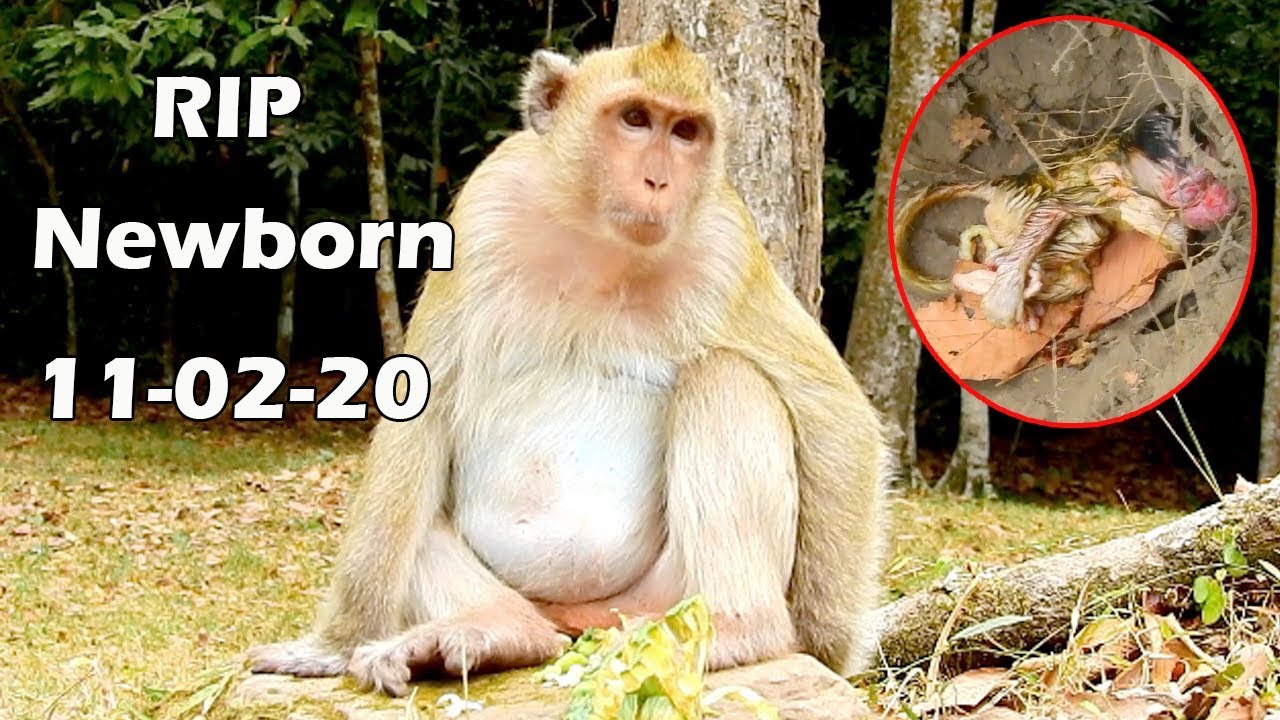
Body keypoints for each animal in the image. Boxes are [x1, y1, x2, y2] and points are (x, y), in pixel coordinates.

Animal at [247, 32, 888, 698]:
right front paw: (332, 646)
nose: (659, 180)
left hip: (659, 598)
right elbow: (422, 409)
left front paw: (825, 642)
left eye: (686, 131)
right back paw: (497, 629)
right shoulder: (483, 210)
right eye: (635, 119)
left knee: (725, 376)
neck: (599, 241)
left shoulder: (727, 247)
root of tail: (578, 622)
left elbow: (834, 412)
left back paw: (743, 627)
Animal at [894, 108, 1237, 330]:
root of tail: (1008, 182)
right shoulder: (1099, 191)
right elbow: (1055, 207)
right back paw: (987, 273)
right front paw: (1004, 296)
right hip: (1013, 208)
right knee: (1086, 230)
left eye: (1207, 179)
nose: (1217, 200)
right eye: (1188, 191)